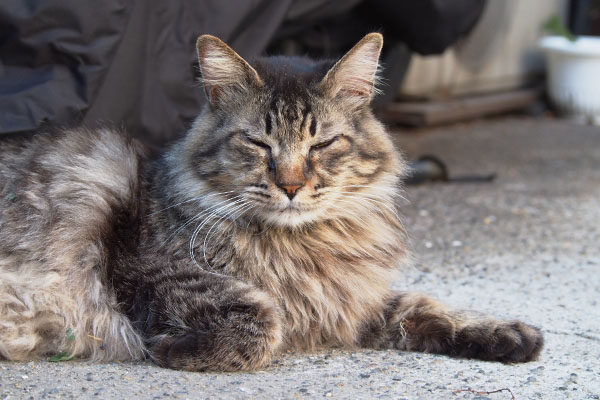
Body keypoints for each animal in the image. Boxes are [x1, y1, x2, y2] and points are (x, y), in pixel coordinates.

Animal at [0, 32, 544, 370]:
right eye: (258, 144)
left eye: (321, 144)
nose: (291, 185)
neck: (304, 246)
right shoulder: (145, 269)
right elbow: (260, 318)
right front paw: (175, 348)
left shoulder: (350, 301)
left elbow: (425, 305)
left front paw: (507, 333)